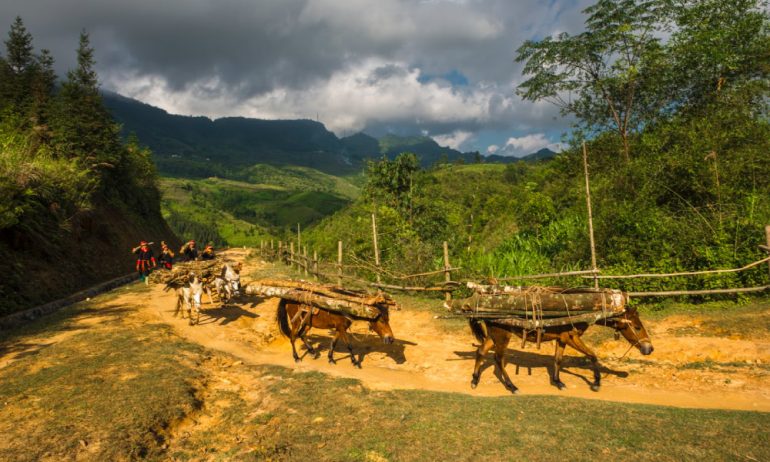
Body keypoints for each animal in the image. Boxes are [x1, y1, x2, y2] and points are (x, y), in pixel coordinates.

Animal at [464, 306, 652, 394]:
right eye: (637, 327)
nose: (649, 348)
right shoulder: (571, 337)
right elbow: (592, 355)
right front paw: (596, 383)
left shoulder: (562, 339)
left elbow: (558, 359)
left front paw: (558, 382)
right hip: (502, 336)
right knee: (498, 359)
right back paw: (512, 386)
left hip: (494, 336)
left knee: (481, 352)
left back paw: (475, 380)